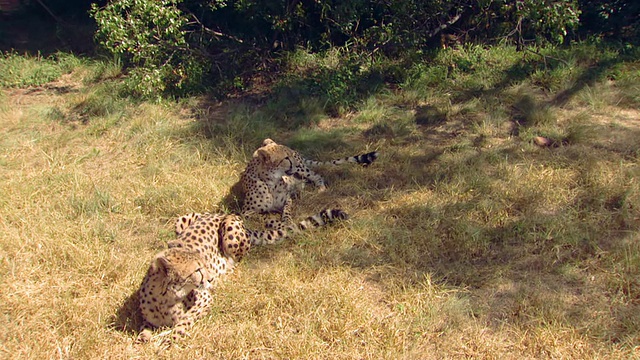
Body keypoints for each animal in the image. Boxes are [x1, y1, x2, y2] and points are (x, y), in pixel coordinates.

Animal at [136, 208, 350, 344]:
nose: (209, 279)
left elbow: (185, 320)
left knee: (238, 259)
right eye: (196, 270)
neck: (167, 298)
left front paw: (171, 338)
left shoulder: (205, 299)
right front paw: (144, 337)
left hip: (230, 229)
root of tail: (219, 213)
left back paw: (226, 271)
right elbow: (145, 327)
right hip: (180, 220)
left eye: (202, 266)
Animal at [242, 139, 378, 221]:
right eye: (286, 158)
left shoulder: (287, 200)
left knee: (317, 176)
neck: (271, 182)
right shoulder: (245, 212)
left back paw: (320, 189)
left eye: (290, 155)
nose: (295, 161)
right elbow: (263, 216)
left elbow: (286, 210)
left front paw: (287, 220)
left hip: (303, 170)